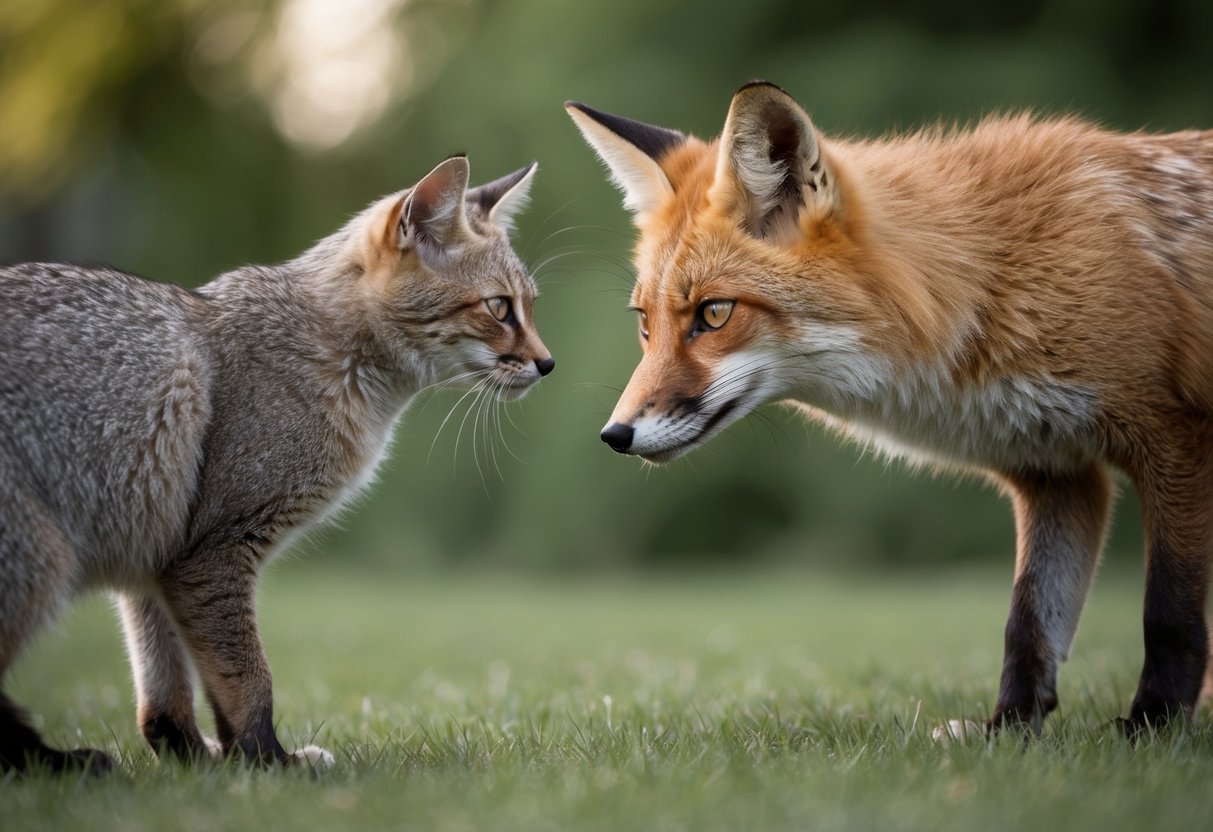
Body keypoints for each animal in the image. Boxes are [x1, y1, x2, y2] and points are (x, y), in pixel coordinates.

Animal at [0, 154, 553, 773]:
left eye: (530, 306)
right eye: (500, 308)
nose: (547, 362)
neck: (331, 356)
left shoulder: (155, 558)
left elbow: (165, 699)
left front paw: (198, 762)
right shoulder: (211, 553)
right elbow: (249, 680)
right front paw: (267, 763)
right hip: (45, 562)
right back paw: (55, 763)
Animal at [567, 81, 1213, 735]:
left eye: (714, 313)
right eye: (645, 323)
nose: (614, 434)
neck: (989, 284)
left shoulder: (1173, 438)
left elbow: (1167, 613)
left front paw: (1154, 727)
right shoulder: (1057, 471)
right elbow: (1028, 625)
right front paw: (1007, 732)